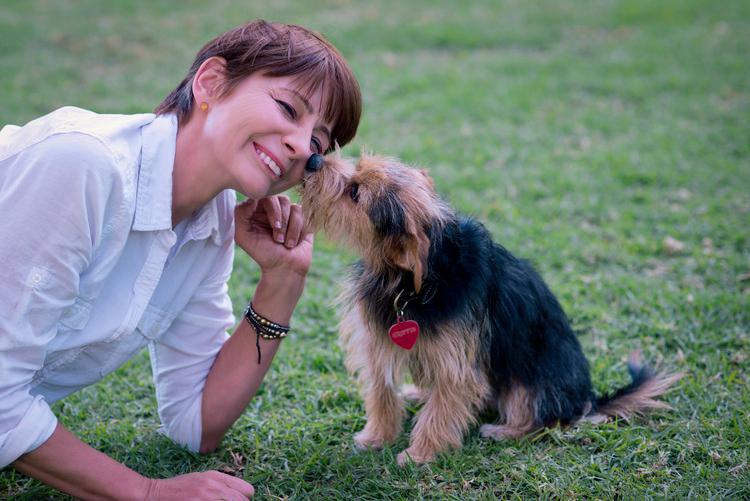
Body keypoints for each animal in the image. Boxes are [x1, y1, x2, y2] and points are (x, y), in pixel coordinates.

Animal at [298, 152, 680, 464]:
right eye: (357, 169)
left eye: (355, 192)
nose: (314, 160)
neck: (412, 281)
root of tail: (587, 399)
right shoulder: (378, 342)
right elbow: (381, 392)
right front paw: (377, 437)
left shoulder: (456, 362)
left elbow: (442, 409)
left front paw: (420, 454)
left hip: (530, 379)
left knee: (542, 418)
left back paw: (503, 431)